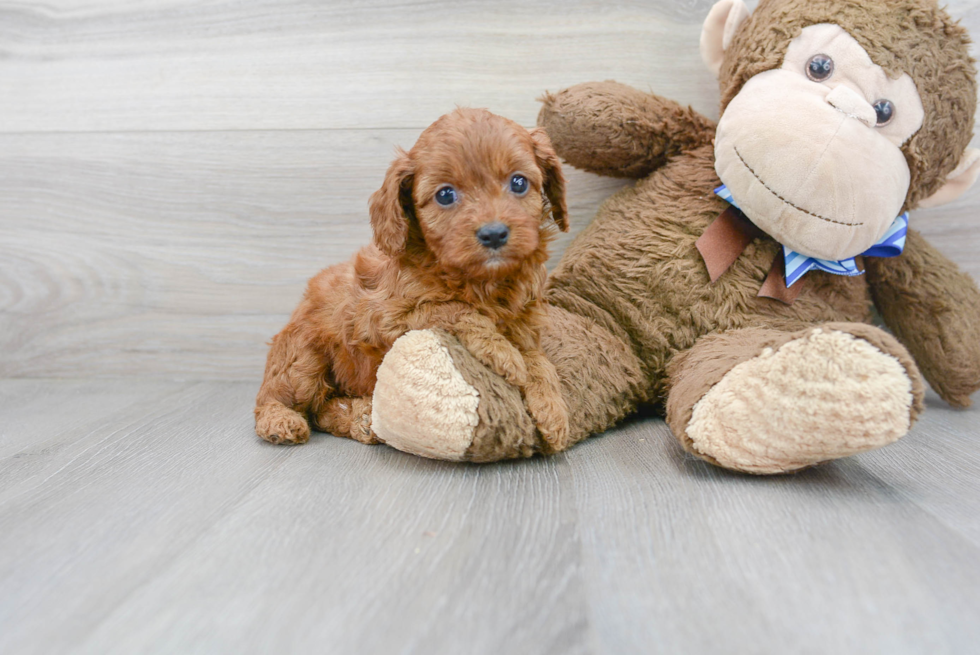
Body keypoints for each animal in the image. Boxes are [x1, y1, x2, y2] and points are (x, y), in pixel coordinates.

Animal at [256, 110, 572, 454]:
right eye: (445, 194)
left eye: (519, 182)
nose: (494, 233)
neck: (481, 281)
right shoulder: (380, 318)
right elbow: (452, 308)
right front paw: (501, 351)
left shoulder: (526, 323)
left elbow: (539, 361)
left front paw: (554, 411)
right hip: (302, 358)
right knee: (279, 400)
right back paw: (281, 421)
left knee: (323, 409)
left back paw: (362, 418)